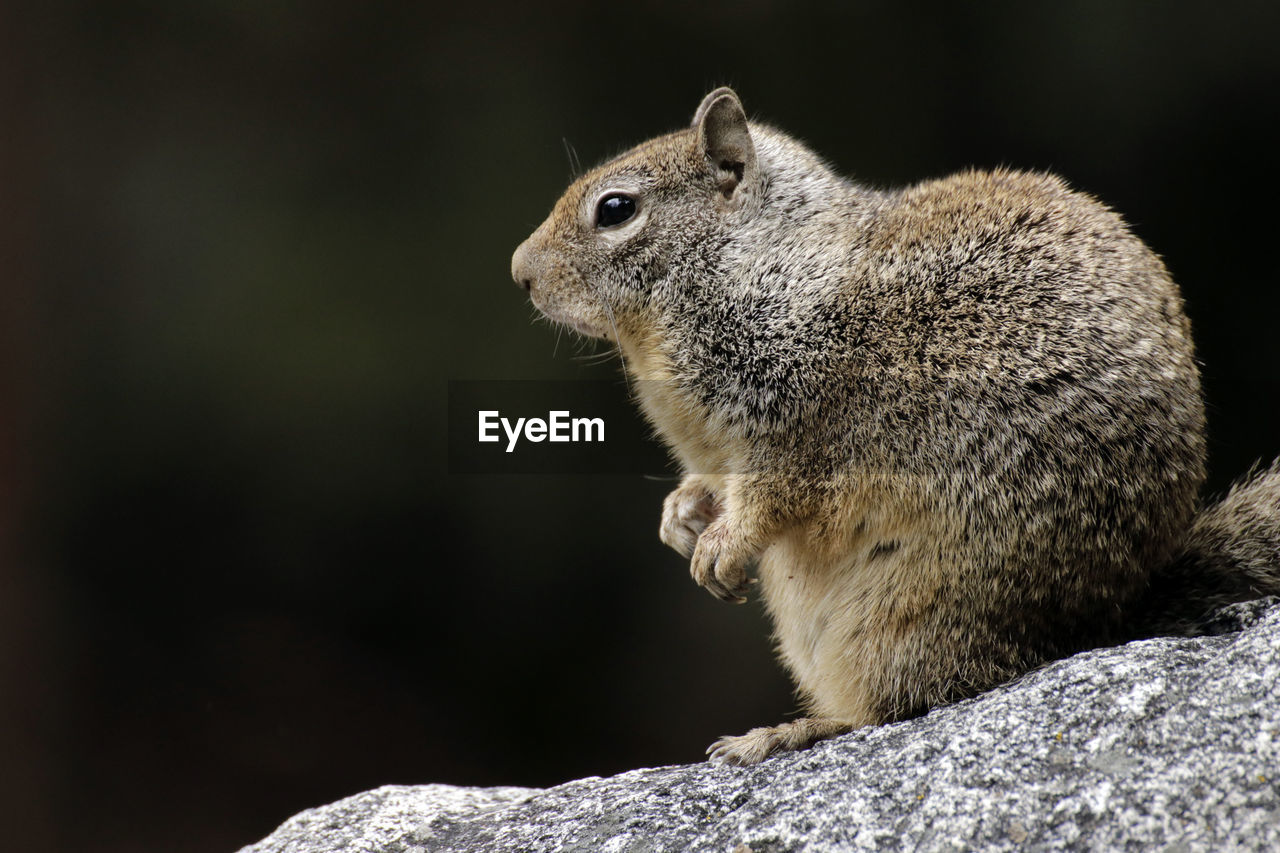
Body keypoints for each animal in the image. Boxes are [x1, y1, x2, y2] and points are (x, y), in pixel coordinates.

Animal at [506, 87, 1280, 763]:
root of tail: (1113, 615)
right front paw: (682, 516)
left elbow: (772, 495)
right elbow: (706, 482)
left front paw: (722, 544)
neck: (746, 265)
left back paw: (787, 732)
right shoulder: (718, 447)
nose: (518, 273)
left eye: (615, 209)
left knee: (906, 700)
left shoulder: (797, 428)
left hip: (905, 613)